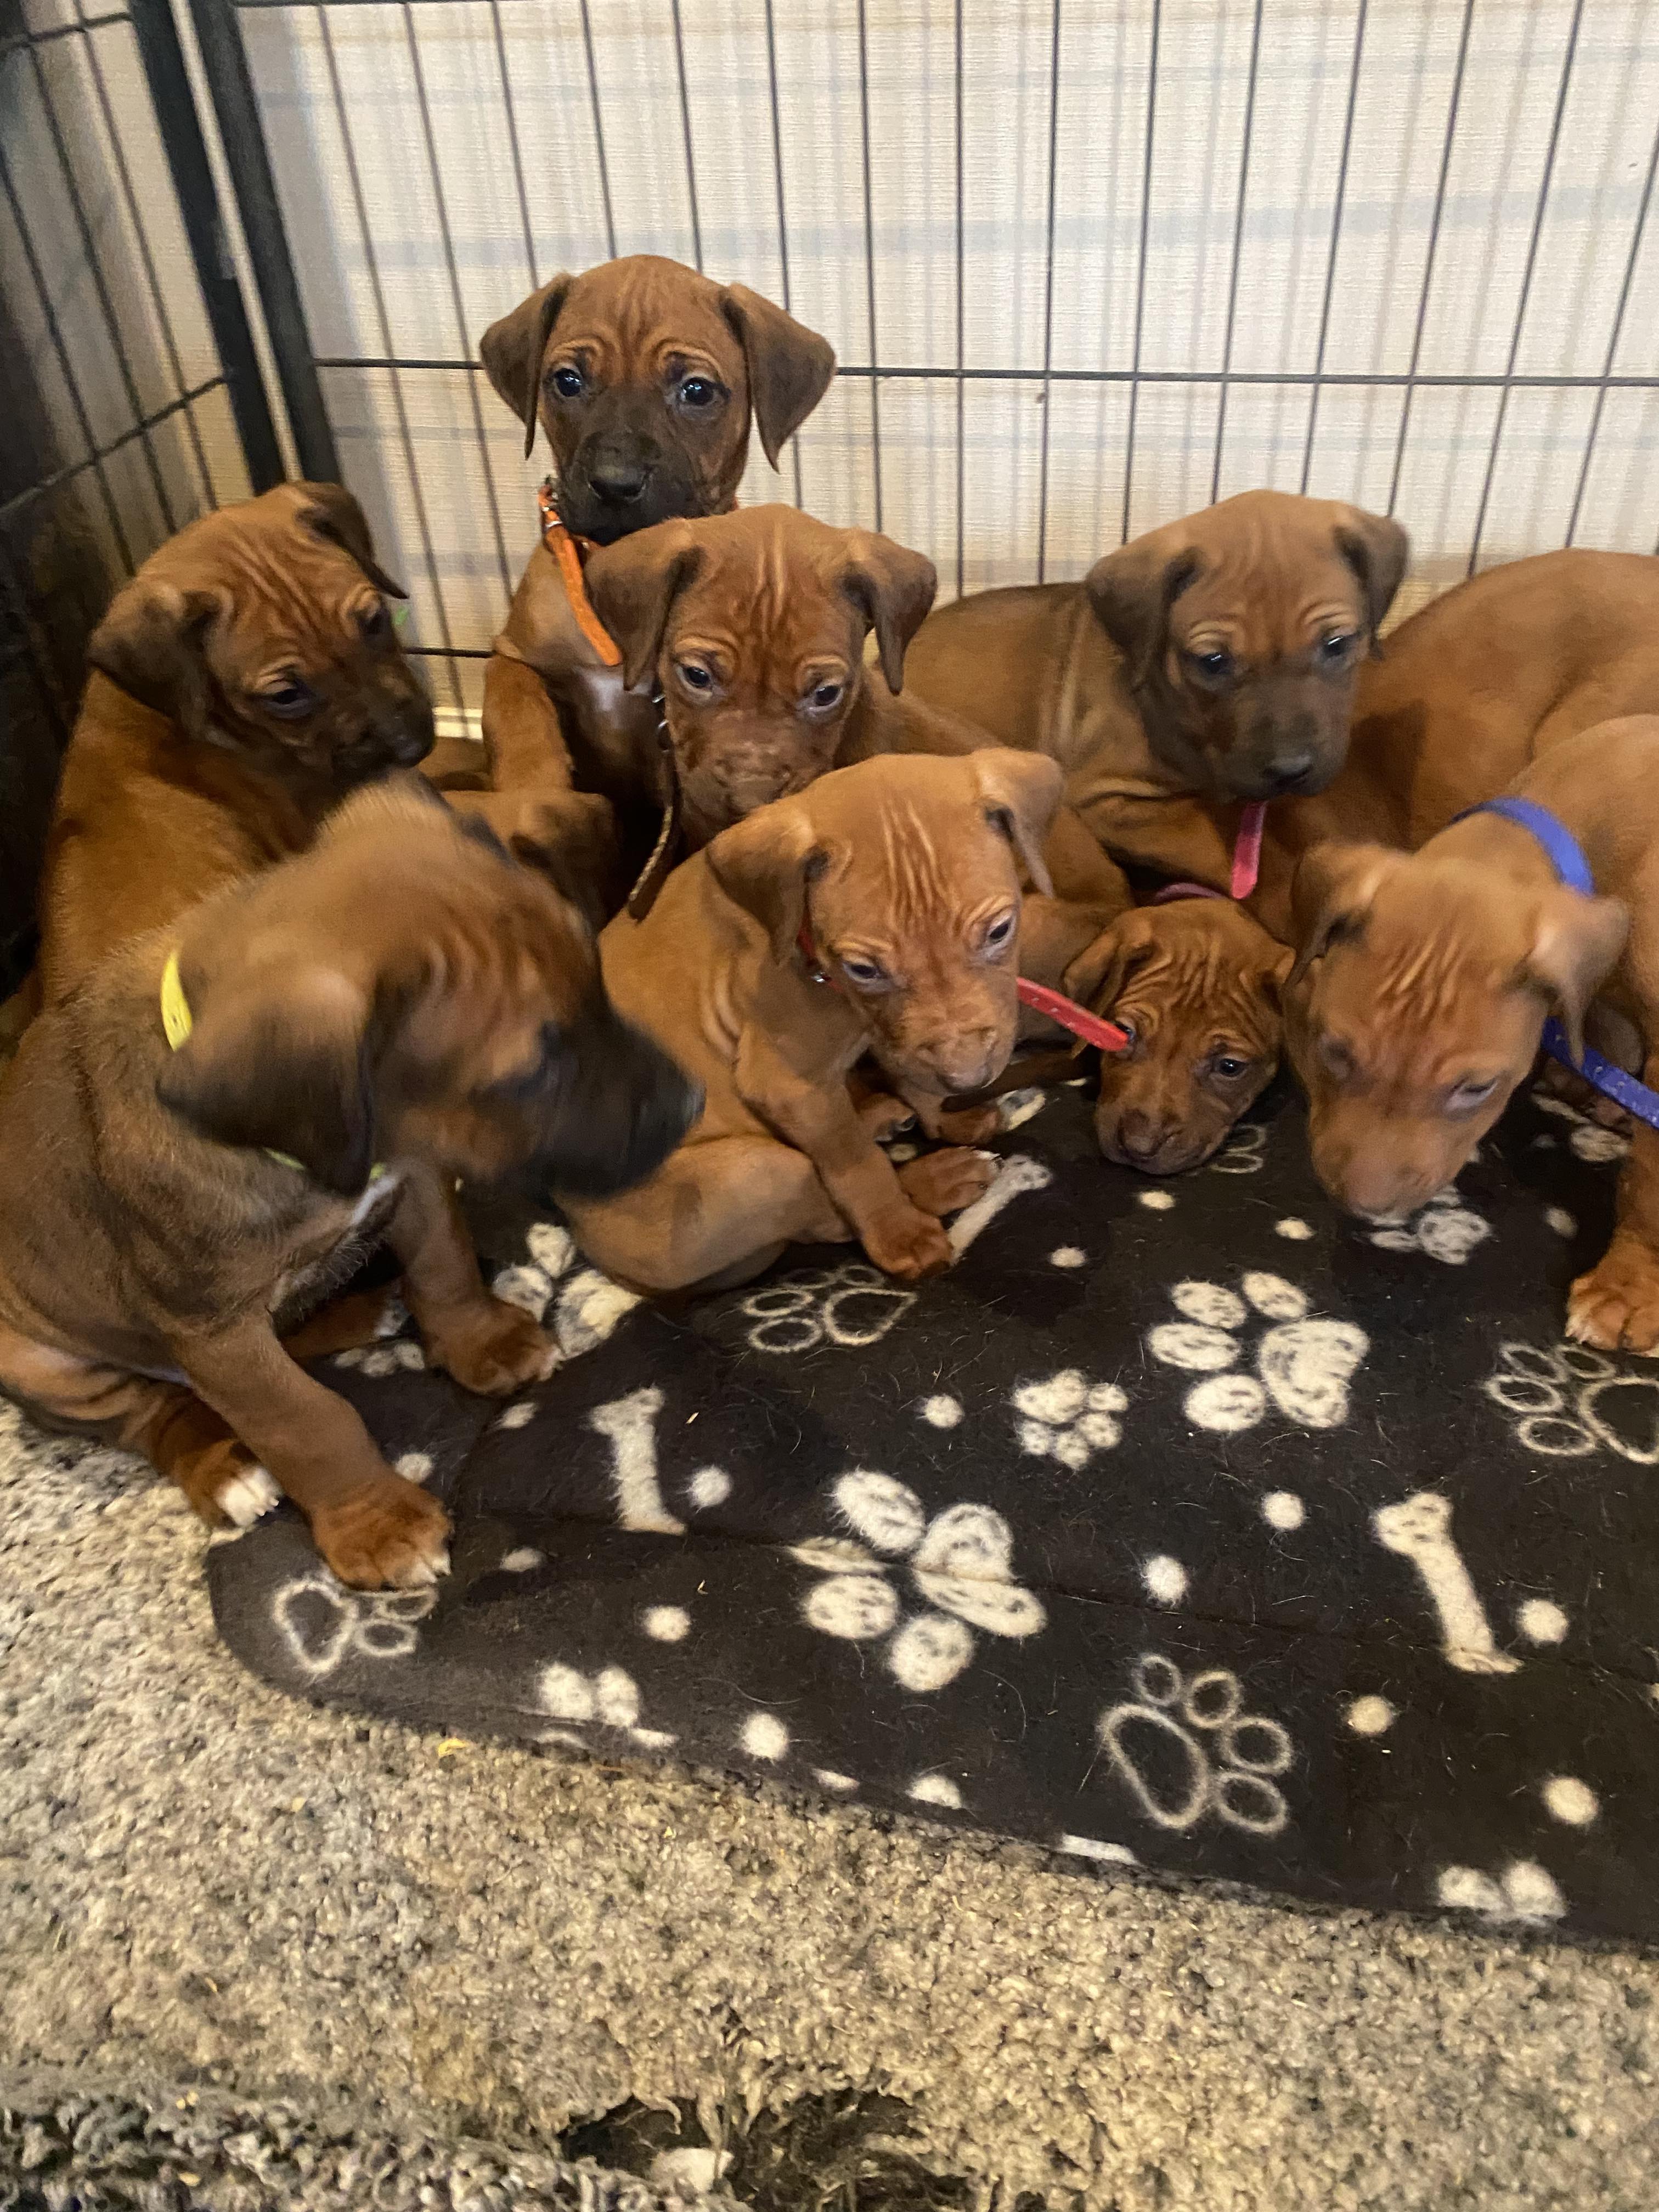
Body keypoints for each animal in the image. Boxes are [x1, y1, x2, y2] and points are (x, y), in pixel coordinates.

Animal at [0, 778, 699, 1593]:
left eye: (597, 975)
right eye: (531, 1075)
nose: (694, 1105)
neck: (308, 1162)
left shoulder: (416, 1175)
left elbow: (446, 1269)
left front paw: (481, 1341)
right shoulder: (214, 1329)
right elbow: (305, 1421)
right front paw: (379, 1524)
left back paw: (363, 1311)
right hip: (40, 1358)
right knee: (151, 1411)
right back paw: (220, 1463)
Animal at [479, 258, 845, 880]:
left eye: (696, 390)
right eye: (567, 382)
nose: (615, 481)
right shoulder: (516, 654)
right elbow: (516, 708)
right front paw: (535, 790)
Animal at [566, 756, 1070, 1291]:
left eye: (1000, 930)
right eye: (864, 969)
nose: (968, 1081)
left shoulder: (890, 1038)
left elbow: (911, 1076)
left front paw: (947, 1114)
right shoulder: (790, 1086)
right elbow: (856, 1166)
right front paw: (902, 1237)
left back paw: (881, 1116)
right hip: (755, 1174)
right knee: (821, 1214)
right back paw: (933, 1183)